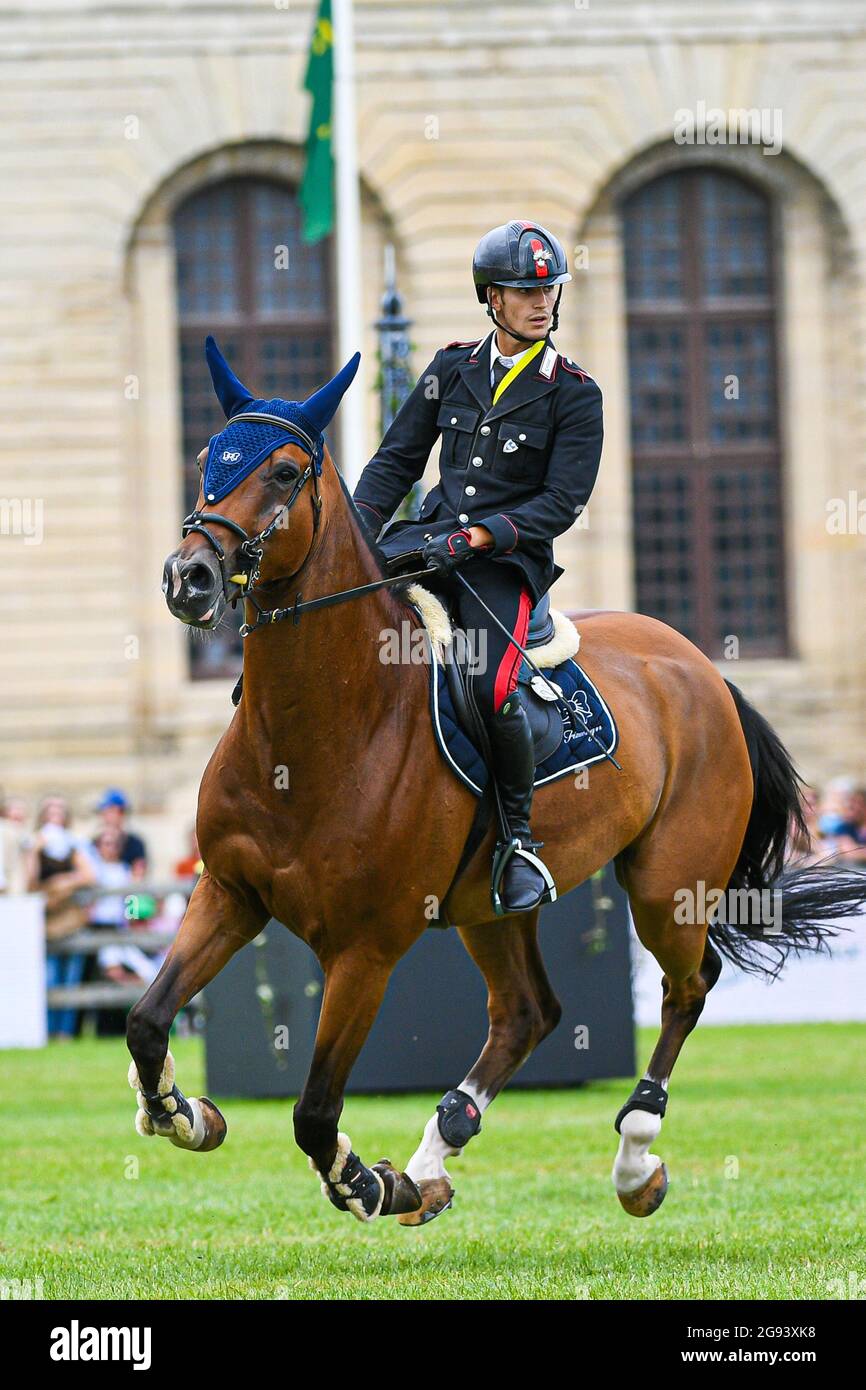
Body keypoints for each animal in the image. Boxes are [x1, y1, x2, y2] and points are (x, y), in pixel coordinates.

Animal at [127, 350, 866, 1228]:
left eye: (282, 472)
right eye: (209, 458)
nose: (188, 577)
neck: (315, 730)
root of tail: (698, 664)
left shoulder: (365, 950)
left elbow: (314, 1111)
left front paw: (365, 1180)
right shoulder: (228, 894)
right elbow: (146, 1021)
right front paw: (180, 1111)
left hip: (667, 884)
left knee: (688, 987)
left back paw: (632, 1157)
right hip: (491, 906)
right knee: (526, 1012)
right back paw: (436, 1154)